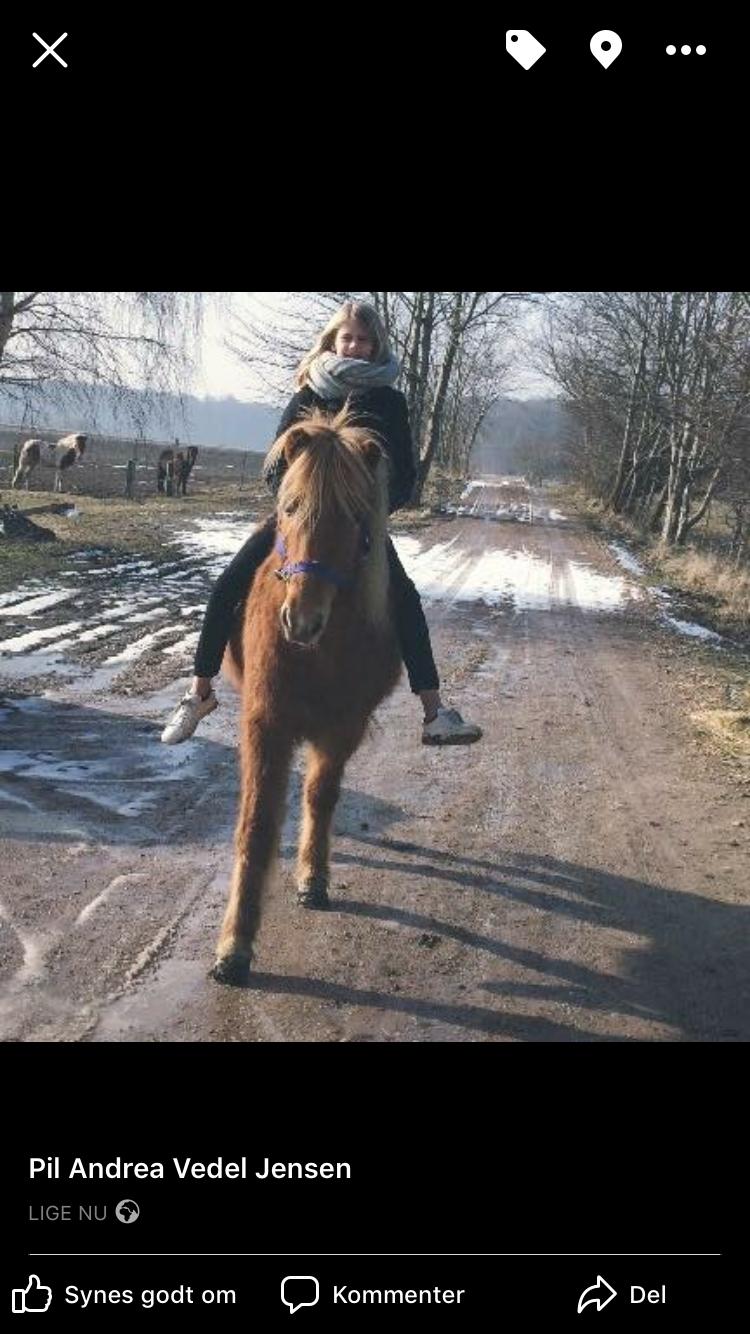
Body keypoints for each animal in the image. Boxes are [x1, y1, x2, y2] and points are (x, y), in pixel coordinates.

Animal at [210, 410, 400, 987]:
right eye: (290, 506)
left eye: (356, 516)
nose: (301, 620)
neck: (320, 651)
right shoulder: (266, 724)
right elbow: (255, 827)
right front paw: (235, 946)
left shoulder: (343, 728)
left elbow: (320, 796)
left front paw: (312, 877)